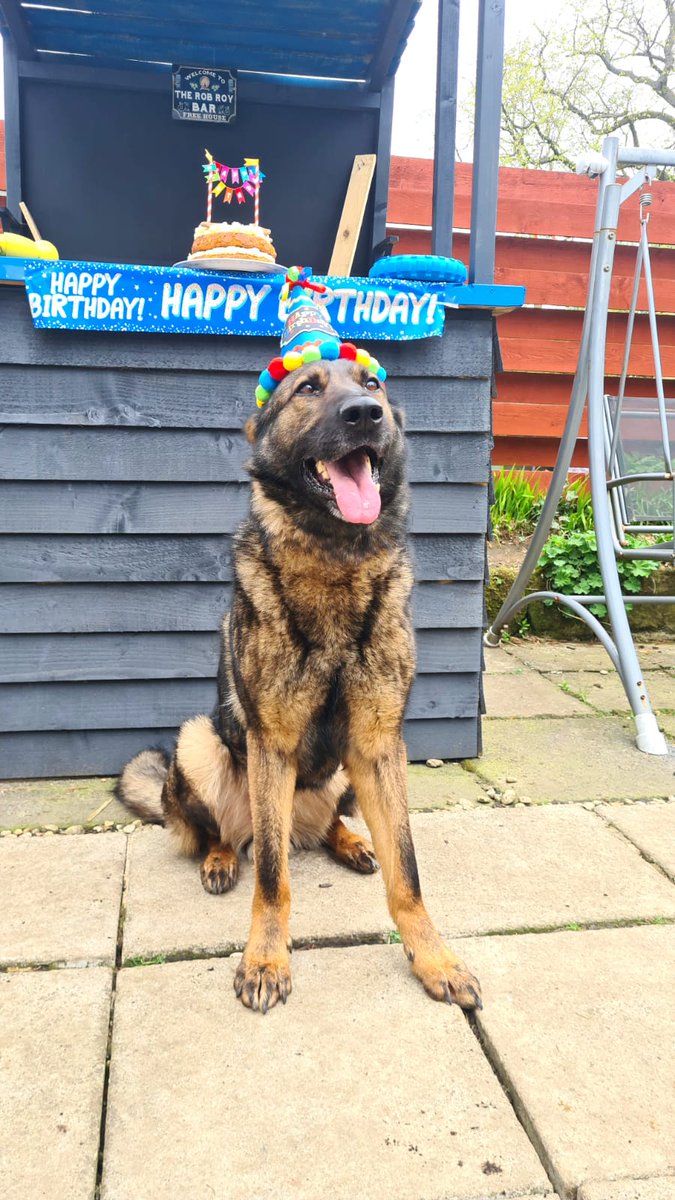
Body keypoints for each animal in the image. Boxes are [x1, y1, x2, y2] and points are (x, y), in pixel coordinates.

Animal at [118, 352, 480, 1012]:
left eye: (372, 384)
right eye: (307, 389)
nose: (365, 414)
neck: (335, 556)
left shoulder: (380, 745)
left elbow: (408, 872)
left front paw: (435, 958)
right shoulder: (272, 746)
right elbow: (271, 876)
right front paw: (265, 959)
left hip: (344, 776)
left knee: (326, 824)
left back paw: (350, 842)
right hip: (200, 741)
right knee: (237, 836)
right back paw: (220, 858)